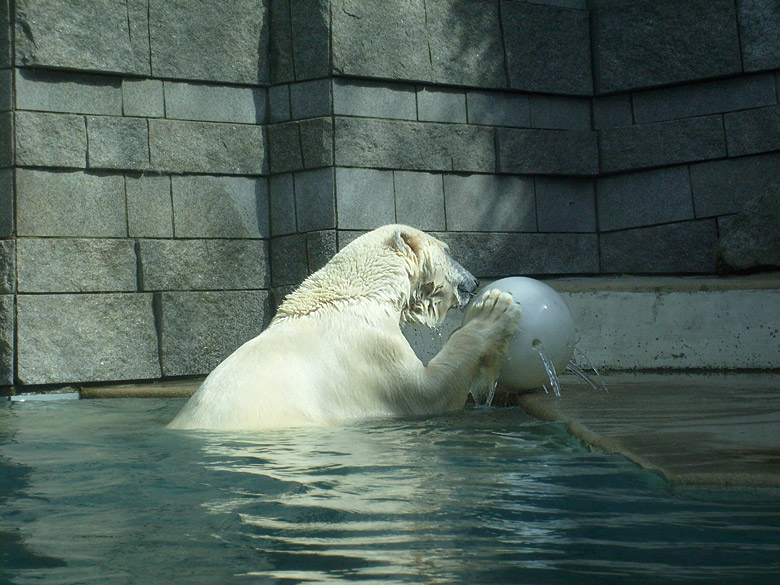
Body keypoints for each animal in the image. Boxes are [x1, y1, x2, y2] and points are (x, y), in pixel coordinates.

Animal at [171, 224, 524, 428]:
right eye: (449, 252)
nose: (475, 282)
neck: (356, 293)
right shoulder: (372, 351)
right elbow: (428, 391)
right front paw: (495, 310)